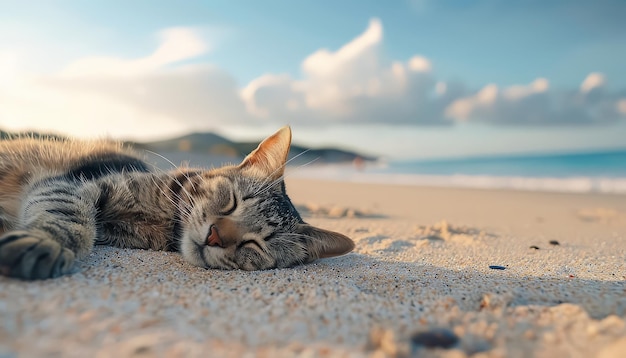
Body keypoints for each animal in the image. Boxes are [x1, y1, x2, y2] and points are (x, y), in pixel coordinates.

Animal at [0, 126, 352, 280]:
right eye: (233, 201)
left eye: (257, 243)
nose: (215, 235)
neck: (166, 220)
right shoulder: (76, 183)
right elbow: (70, 217)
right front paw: (45, 242)